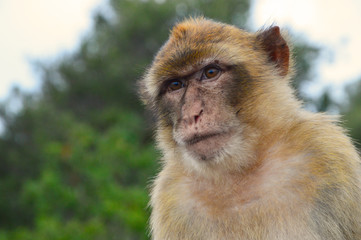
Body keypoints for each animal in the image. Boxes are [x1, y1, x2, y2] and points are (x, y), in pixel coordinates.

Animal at [138, 17, 360, 240]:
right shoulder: (172, 194)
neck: (240, 170)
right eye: (175, 85)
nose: (192, 114)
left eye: (210, 73)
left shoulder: (326, 149)